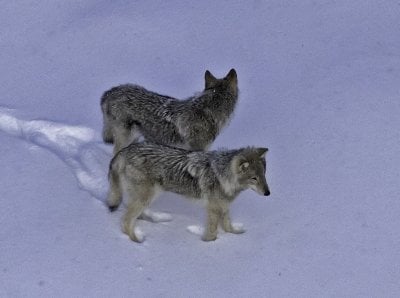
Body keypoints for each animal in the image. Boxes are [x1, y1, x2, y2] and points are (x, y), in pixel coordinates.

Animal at [106, 142, 270, 242]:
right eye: (254, 178)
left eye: (263, 175)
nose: (268, 193)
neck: (222, 175)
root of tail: (125, 150)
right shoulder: (213, 209)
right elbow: (213, 233)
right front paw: (209, 244)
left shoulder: (223, 206)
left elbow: (228, 225)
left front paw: (237, 235)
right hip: (146, 197)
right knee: (126, 220)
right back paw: (137, 241)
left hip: (146, 197)